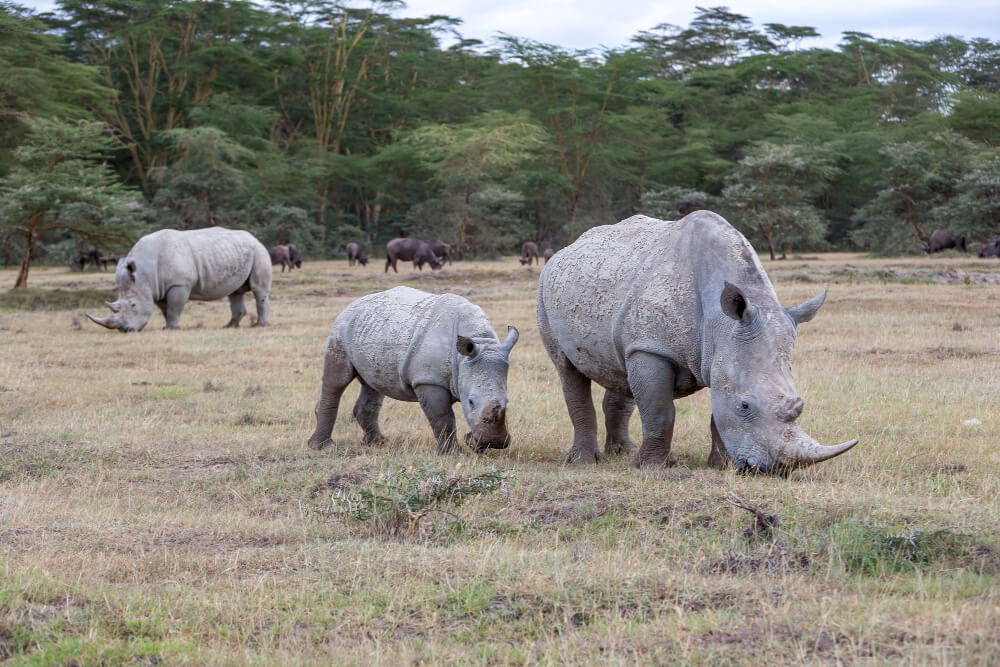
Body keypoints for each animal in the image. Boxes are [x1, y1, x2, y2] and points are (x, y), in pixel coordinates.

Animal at [87, 227, 271, 332]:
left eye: (133, 305)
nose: (125, 330)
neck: (144, 274)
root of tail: (254, 237)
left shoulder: (179, 284)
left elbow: (175, 307)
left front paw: (172, 328)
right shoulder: (157, 288)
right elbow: (165, 309)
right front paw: (167, 326)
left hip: (259, 251)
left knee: (258, 290)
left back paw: (259, 326)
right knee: (235, 292)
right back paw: (229, 327)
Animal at [307, 286, 519, 454]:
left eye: (507, 401)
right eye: (471, 402)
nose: (495, 442)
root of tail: (353, 304)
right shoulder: (428, 380)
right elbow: (443, 418)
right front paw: (453, 453)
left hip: (371, 332)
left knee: (373, 385)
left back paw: (378, 443)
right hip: (341, 329)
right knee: (337, 381)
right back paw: (323, 447)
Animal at [537, 211, 858, 475]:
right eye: (745, 406)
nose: (776, 469)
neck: (721, 324)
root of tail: (567, 248)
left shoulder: (720, 354)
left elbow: (716, 412)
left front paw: (720, 466)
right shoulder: (653, 348)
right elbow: (660, 411)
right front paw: (652, 468)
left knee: (619, 367)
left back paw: (622, 453)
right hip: (545, 289)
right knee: (567, 368)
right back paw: (584, 462)